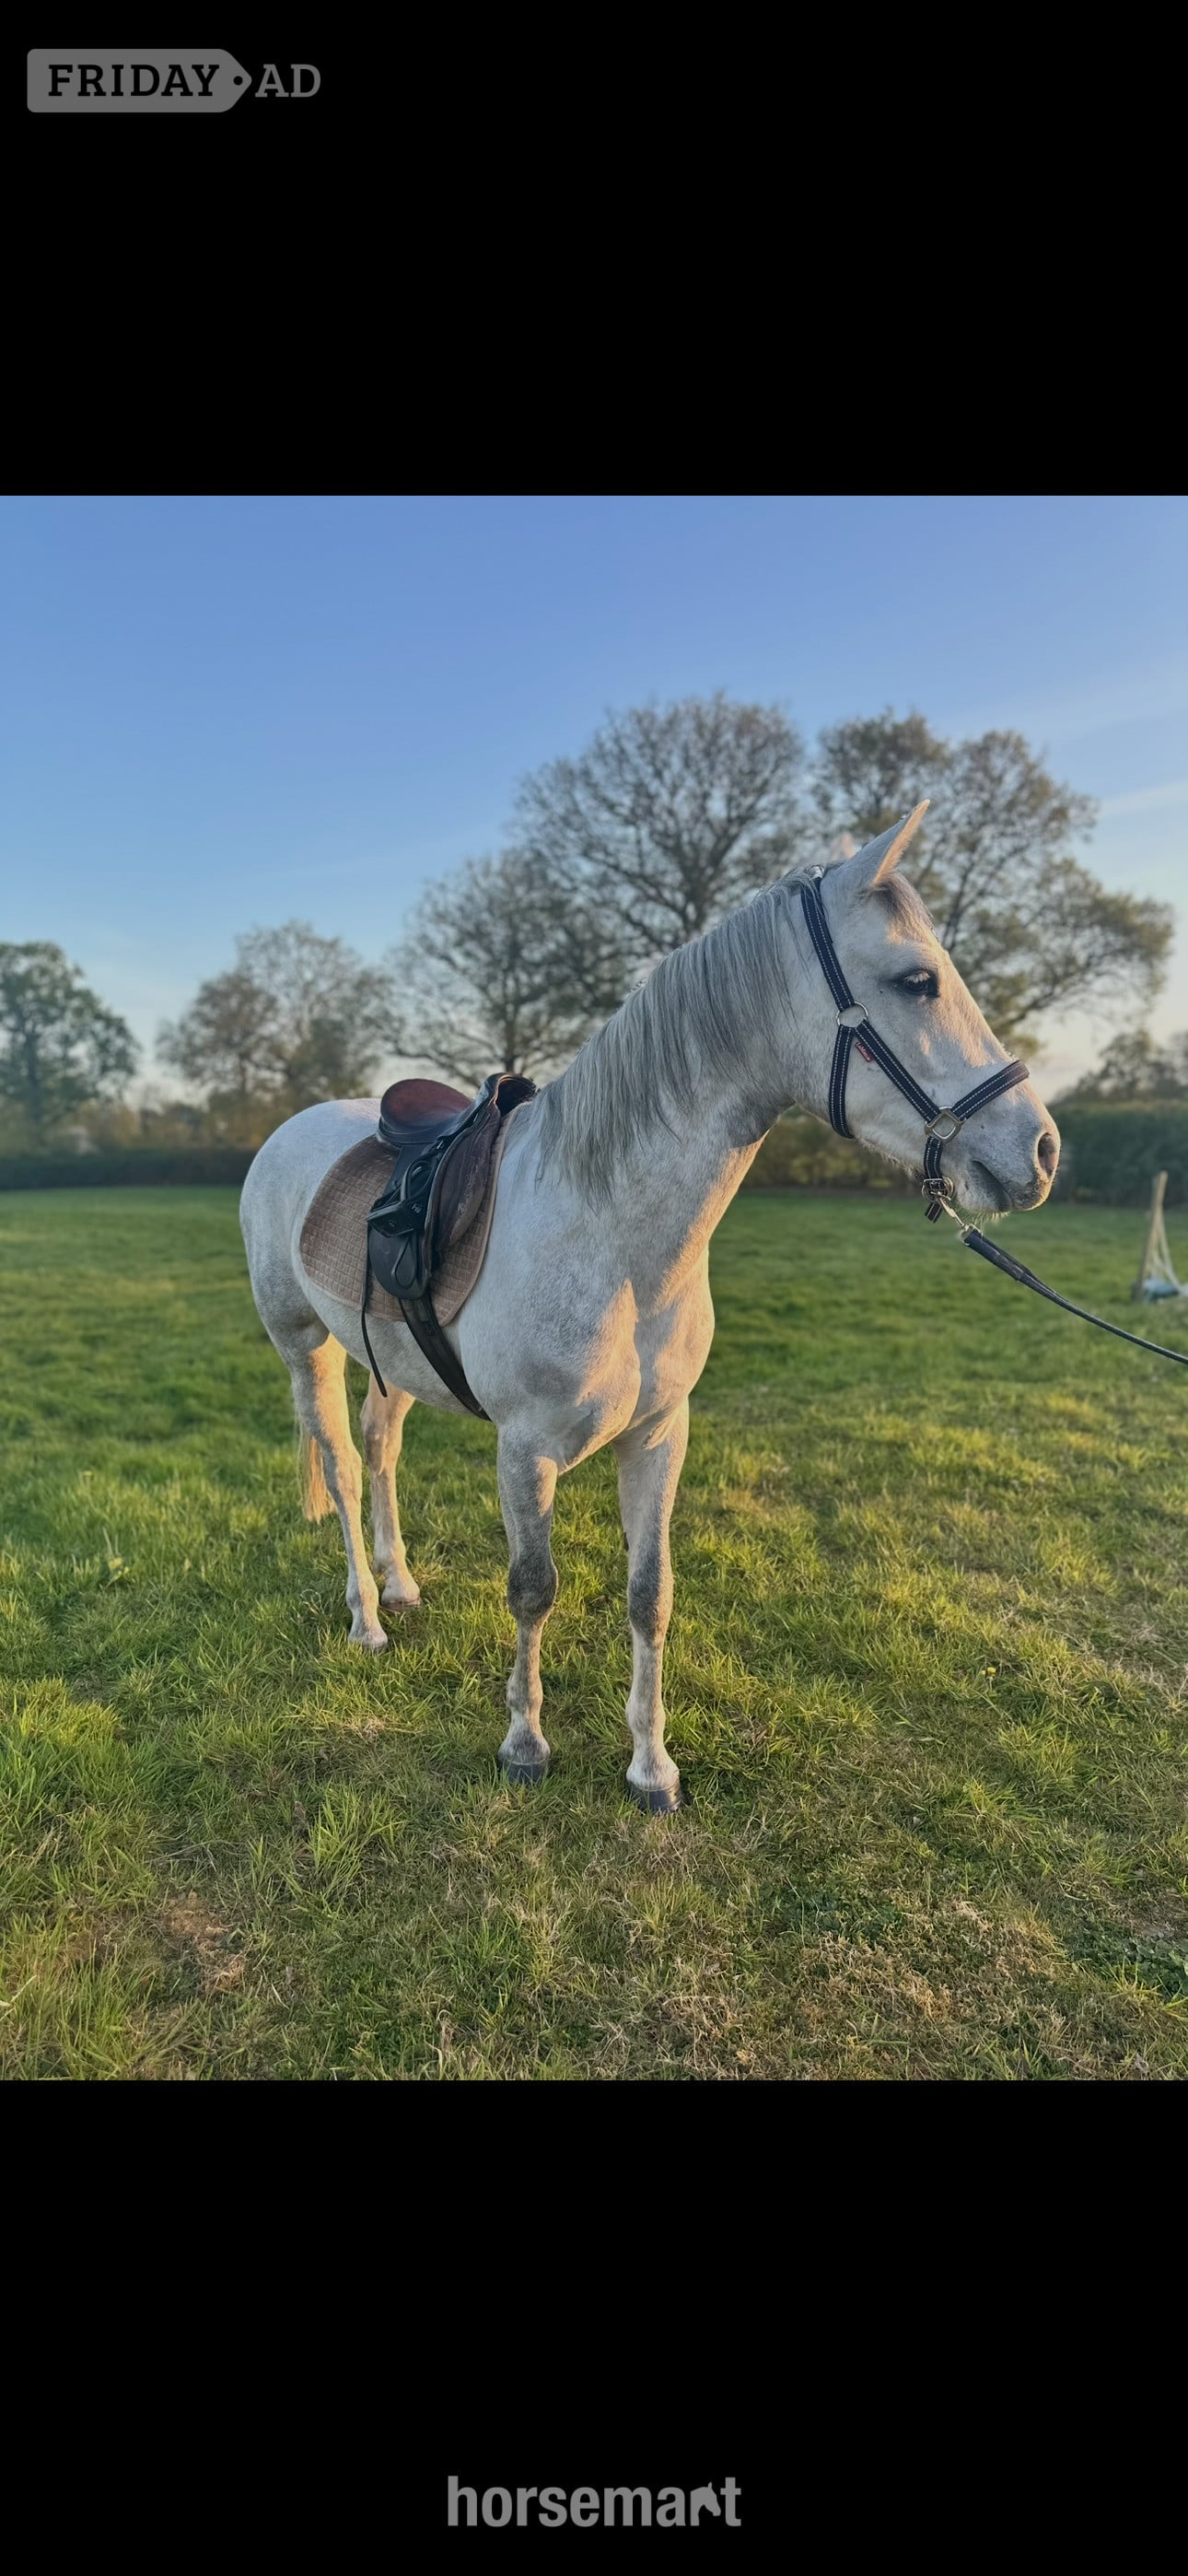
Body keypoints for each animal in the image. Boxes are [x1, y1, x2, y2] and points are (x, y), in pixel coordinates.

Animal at [239, 805, 1059, 1811]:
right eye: (917, 980)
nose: (1040, 1151)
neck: (615, 1237)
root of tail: (294, 1128)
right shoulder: (525, 1451)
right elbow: (533, 1587)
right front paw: (525, 1745)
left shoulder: (661, 1434)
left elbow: (649, 1594)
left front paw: (651, 1765)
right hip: (302, 1344)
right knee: (345, 1468)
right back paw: (366, 1617)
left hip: (386, 1357)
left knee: (383, 1450)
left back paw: (398, 1586)